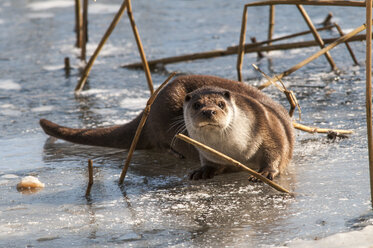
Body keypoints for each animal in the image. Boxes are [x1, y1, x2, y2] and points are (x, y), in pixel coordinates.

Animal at [38, 74, 294, 181]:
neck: (235, 150)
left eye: (221, 104)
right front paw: (203, 171)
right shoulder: (209, 154)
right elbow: (212, 164)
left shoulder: (267, 126)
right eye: (197, 104)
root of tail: (147, 111)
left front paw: (267, 173)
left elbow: (276, 150)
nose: (208, 111)